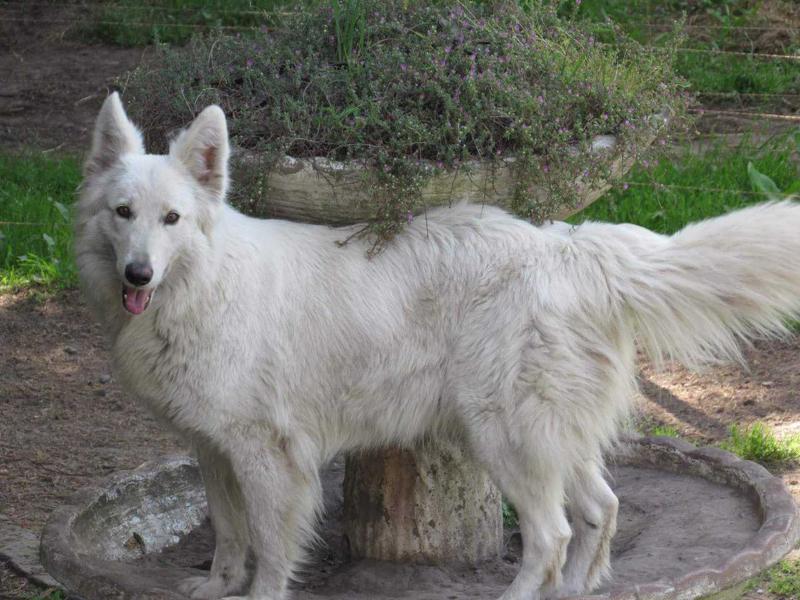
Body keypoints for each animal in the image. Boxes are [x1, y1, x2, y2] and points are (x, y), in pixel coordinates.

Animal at [75, 91, 800, 596]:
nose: (137, 274)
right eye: (123, 213)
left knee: (551, 536)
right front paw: (217, 586)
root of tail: (566, 247)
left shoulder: (268, 458)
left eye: (172, 219)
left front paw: (256, 595)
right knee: (600, 511)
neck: (201, 285)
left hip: (504, 436)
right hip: (550, 438)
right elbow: (229, 535)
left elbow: (271, 551)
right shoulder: (213, 450)